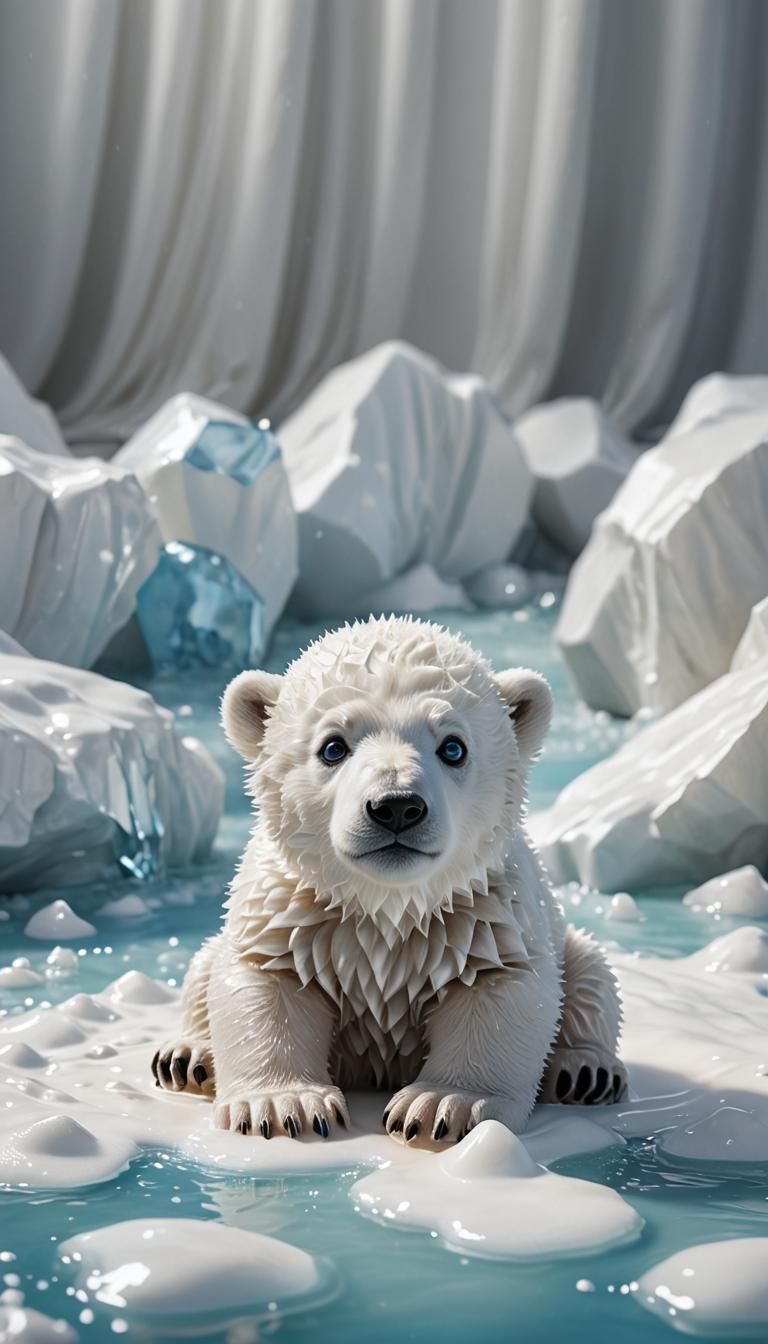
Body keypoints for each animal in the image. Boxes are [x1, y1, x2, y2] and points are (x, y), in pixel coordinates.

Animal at [152, 615, 626, 1144]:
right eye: (333, 747)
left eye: (453, 747)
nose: (396, 806)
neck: (387, 907)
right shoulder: (291, 914)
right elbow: (263, 983)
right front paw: (282, 1106)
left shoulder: (487, 916)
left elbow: (501, 992)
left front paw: (443, 1106)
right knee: (203, 965)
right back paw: (188, 1058)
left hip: (565, 943)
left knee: (590, 973)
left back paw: (583, 1071)